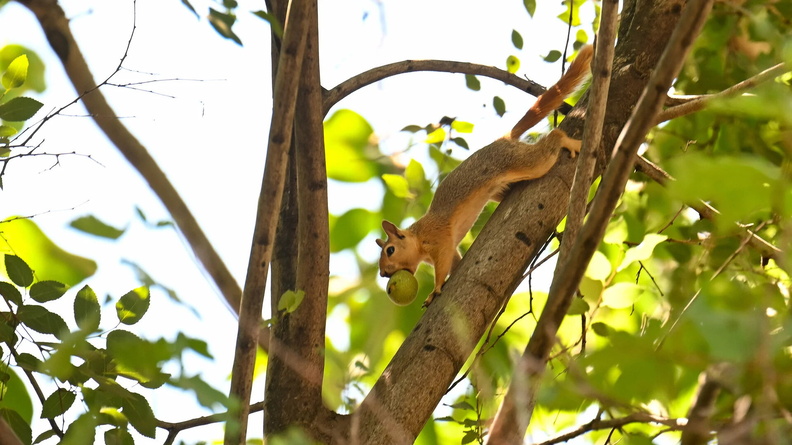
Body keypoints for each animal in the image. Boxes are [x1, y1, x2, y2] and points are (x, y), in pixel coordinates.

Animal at [376, 45, 594, 307]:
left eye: (390, 250)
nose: (383, 273)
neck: (418, 237)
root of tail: (504, 138)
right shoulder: (449, 249)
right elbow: (455, 262)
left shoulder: (439, 240)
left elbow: (442, 266)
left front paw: (435, 290)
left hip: (526, 162)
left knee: (552, 142)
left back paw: (566, 140)